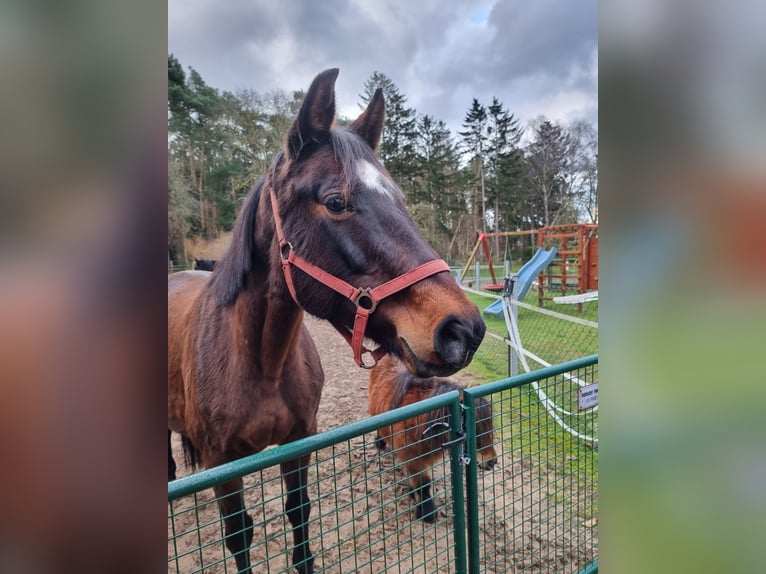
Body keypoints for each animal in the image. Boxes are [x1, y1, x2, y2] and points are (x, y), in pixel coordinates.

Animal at [168, 68, 486, 574]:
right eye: (336, 202)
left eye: (399, 199)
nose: (462, 330)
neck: (260, 363)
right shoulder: (223, 463)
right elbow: (238, 535)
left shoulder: (300, 441)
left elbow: (299, 511)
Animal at [370, 354, 500, 524]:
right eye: (473, 429)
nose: (492, 461)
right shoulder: (413, 458)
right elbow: (423, 484)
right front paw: (427, 513)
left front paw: (413, 495)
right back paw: (380, 442)